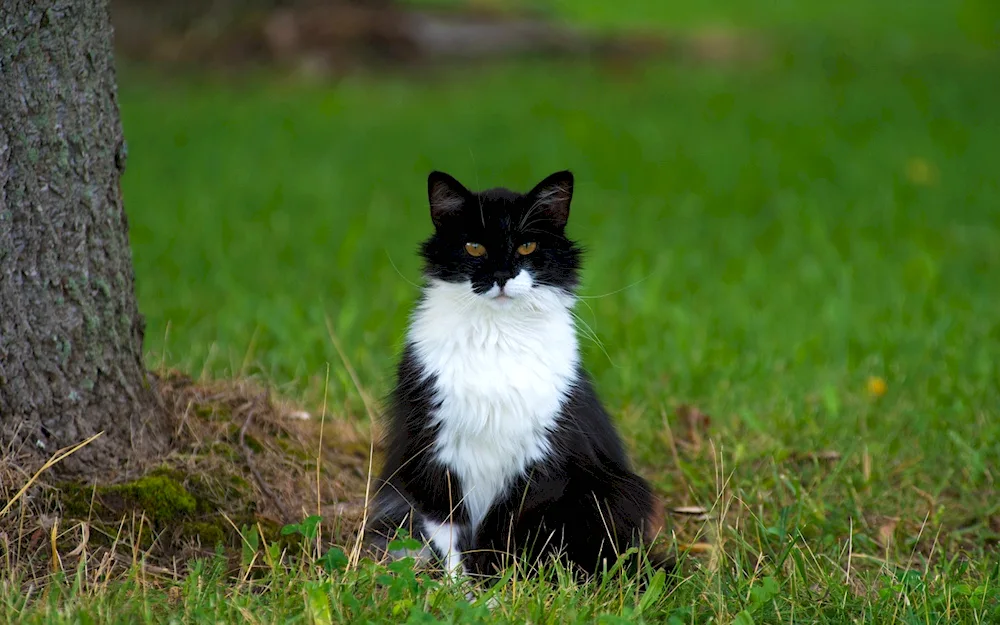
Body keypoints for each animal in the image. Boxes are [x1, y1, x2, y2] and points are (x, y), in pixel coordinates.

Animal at [362, 168, 672, 584]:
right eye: (475, 247)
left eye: (526, 247)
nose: (503, 275)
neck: (498, 335)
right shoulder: (432, 453)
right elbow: (451, 538)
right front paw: (462, 590)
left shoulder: (541, 462)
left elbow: (504, 533)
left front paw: (497, 588)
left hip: (613, 494)